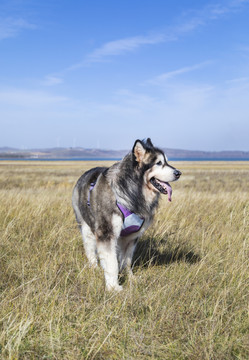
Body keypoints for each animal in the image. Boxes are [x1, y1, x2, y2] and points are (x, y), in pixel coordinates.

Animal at [72, 139, 181, 292]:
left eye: (166, 161)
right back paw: (94, 267)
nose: (178, 173)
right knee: (90, 248)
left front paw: (130, 278)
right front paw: (113, 287)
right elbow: (111, 262)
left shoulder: (131, 236)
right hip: (86, 226)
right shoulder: (107, 233)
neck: (132, 193)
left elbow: (127, 260)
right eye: (158, 163)